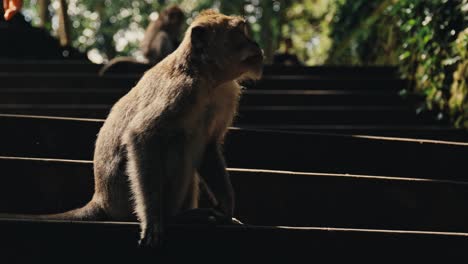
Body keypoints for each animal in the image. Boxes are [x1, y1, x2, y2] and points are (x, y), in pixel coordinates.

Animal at [0, 9, 264, 246]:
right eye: (240, 32)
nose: (256, 44)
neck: (208, 78)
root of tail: (101, 199)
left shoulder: (226, 95)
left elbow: (209, 146)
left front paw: (227, 210)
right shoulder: (181, 91)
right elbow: (142, 136)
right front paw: (153, 220)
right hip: (124, 197)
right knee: (178, 144)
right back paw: (178, 217)